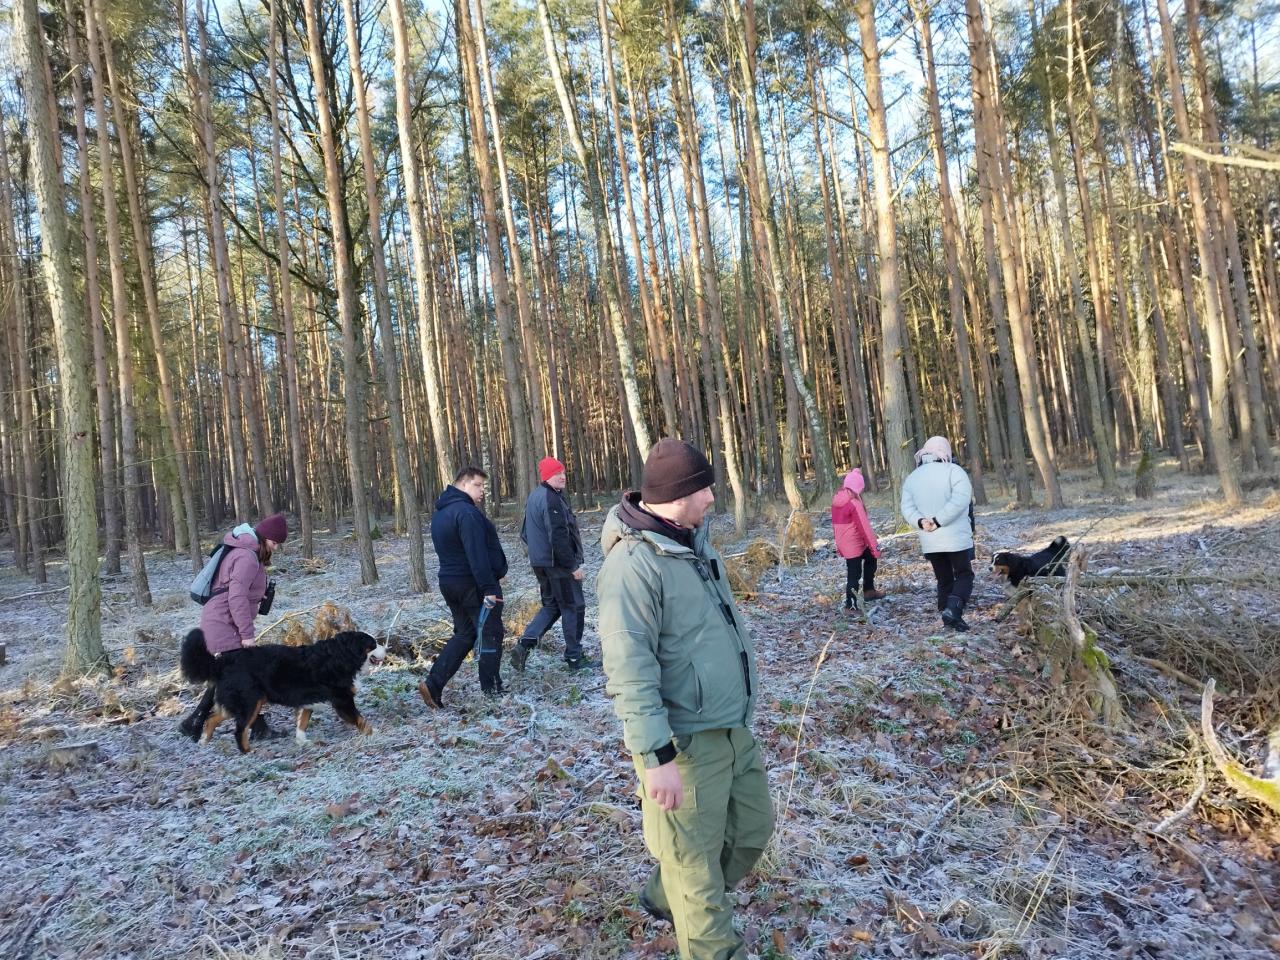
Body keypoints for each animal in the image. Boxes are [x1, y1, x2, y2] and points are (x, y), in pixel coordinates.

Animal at [180, 629, 385, 754]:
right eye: (373, 644)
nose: (386, 648)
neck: (343, 656)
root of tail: (222, 662)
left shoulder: (307, 700)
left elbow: (302, 722)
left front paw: (302, 741)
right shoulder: (342, 699)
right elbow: (360, 719)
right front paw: (375, 733)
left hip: (239, 702)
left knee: (212, 718)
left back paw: (203, 741)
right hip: (250, 702)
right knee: (239, 730)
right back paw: (247, 751)